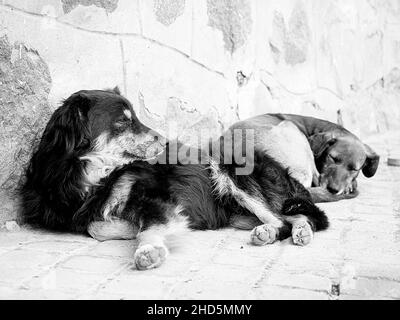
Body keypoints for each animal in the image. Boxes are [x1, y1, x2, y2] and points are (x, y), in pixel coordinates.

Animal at [20, 87, 328, 270]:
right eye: (122, 121)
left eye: (136, 117)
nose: (163, 139)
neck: (93, 177)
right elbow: (94, 225)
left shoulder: (156, 197)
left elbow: (137, 227)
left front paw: (149, 248)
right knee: (283, 219)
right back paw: (271, 232)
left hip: (230, 167)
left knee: (293, 217)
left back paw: (298, 230)